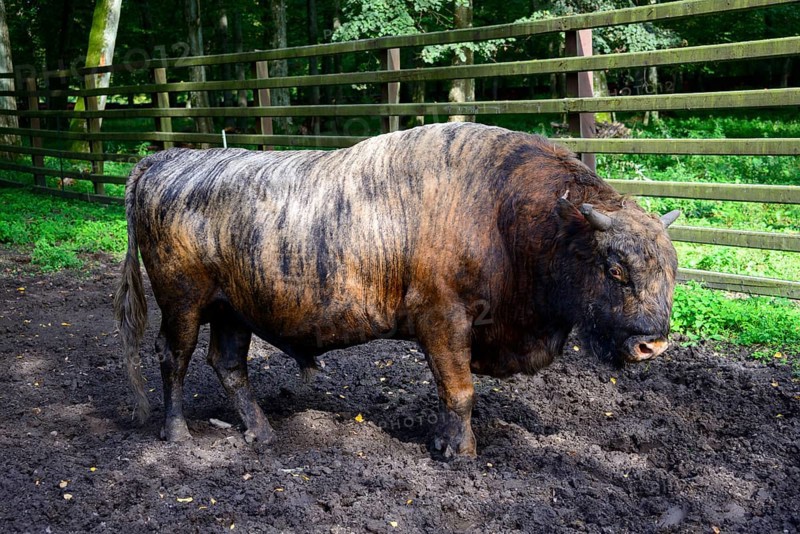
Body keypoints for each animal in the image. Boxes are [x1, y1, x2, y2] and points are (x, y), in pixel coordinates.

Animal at [114, 122, 679, 457]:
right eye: (615, 268)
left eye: (671, 270)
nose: (652, 343)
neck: (509, 213)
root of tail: (164, 160)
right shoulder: (443, 321)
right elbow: (459, 390)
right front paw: (459, 452)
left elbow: (454, 393)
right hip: (183, 304)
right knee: (173, 356)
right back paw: (177, 433)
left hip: (234, 310)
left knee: (229, 364)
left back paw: (264, 432)